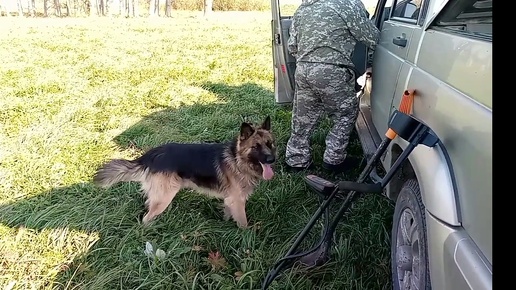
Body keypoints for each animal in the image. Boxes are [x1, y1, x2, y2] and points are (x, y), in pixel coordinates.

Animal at [94, 116, 276, 228]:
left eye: (270, 144)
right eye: (256, 147)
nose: (271, 159)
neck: (238, 160)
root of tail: (152, 154)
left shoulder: (230, 200)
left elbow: (227, 214)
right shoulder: (238, 201)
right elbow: (243, 223)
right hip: (165, 196)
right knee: (146, 218)